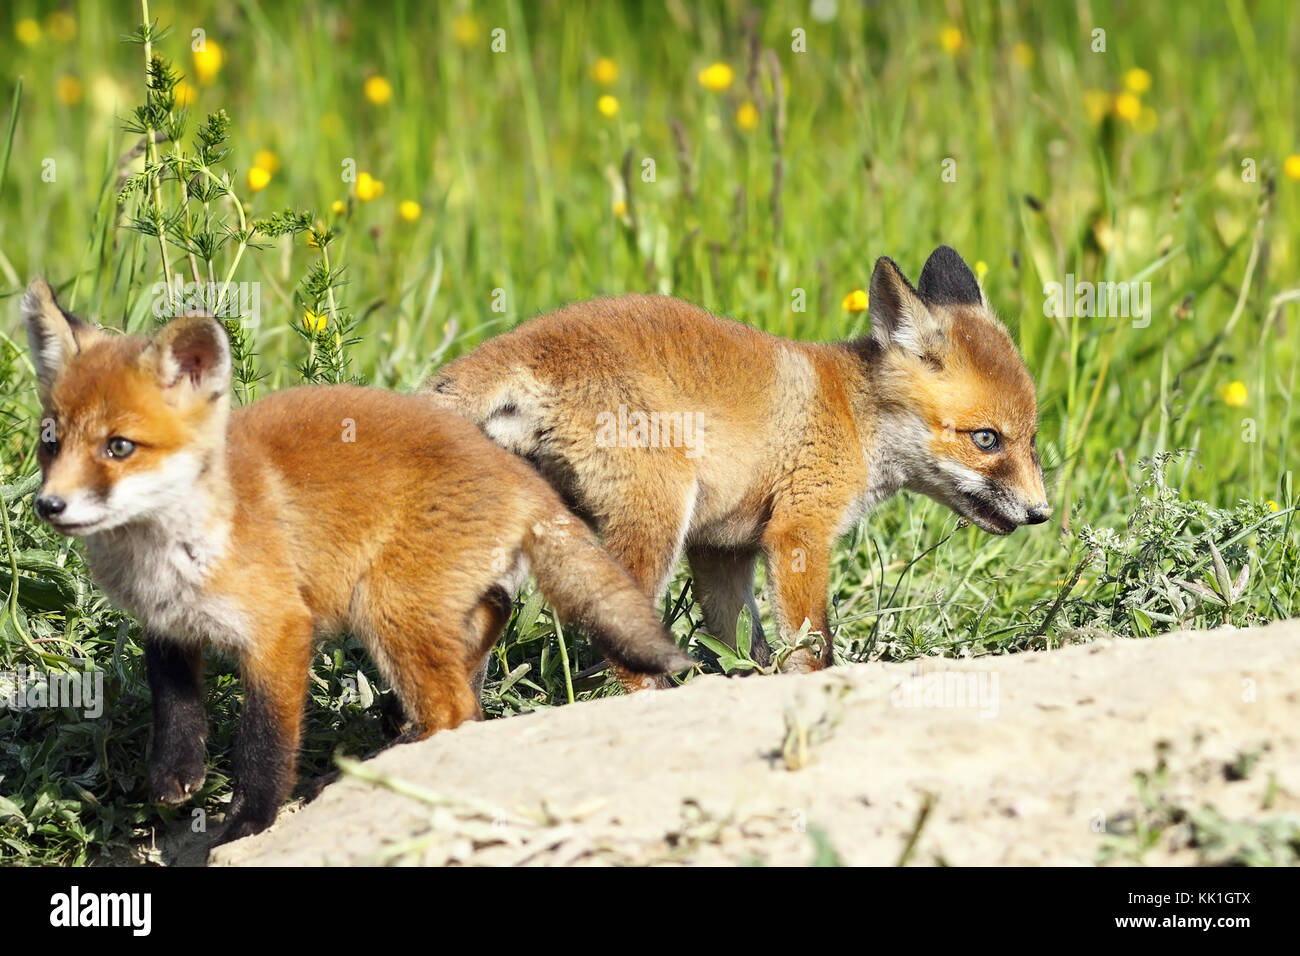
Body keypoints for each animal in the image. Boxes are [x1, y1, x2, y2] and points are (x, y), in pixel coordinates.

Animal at [22, 278, 692, 844]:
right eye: (49, 441)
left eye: (119, 447)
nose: (48, 505)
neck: (170, 550)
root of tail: (524, 477)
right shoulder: (166, 622)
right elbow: (174, 700)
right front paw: (175, 773)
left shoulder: (280, 631)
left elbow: (265, 742)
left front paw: (247, 823)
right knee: (491, 621)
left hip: (385, 604)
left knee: (455, 709)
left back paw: (389, 761)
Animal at [424, 246, 1050, 685]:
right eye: (986, 439)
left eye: (1033, 440)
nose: (1042, 514)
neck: (854, 417)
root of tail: (518, 347)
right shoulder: (798, 531)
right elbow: (810, 648)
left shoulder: (721, 548)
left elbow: (743, 646)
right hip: (656, 522)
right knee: (621, 653)